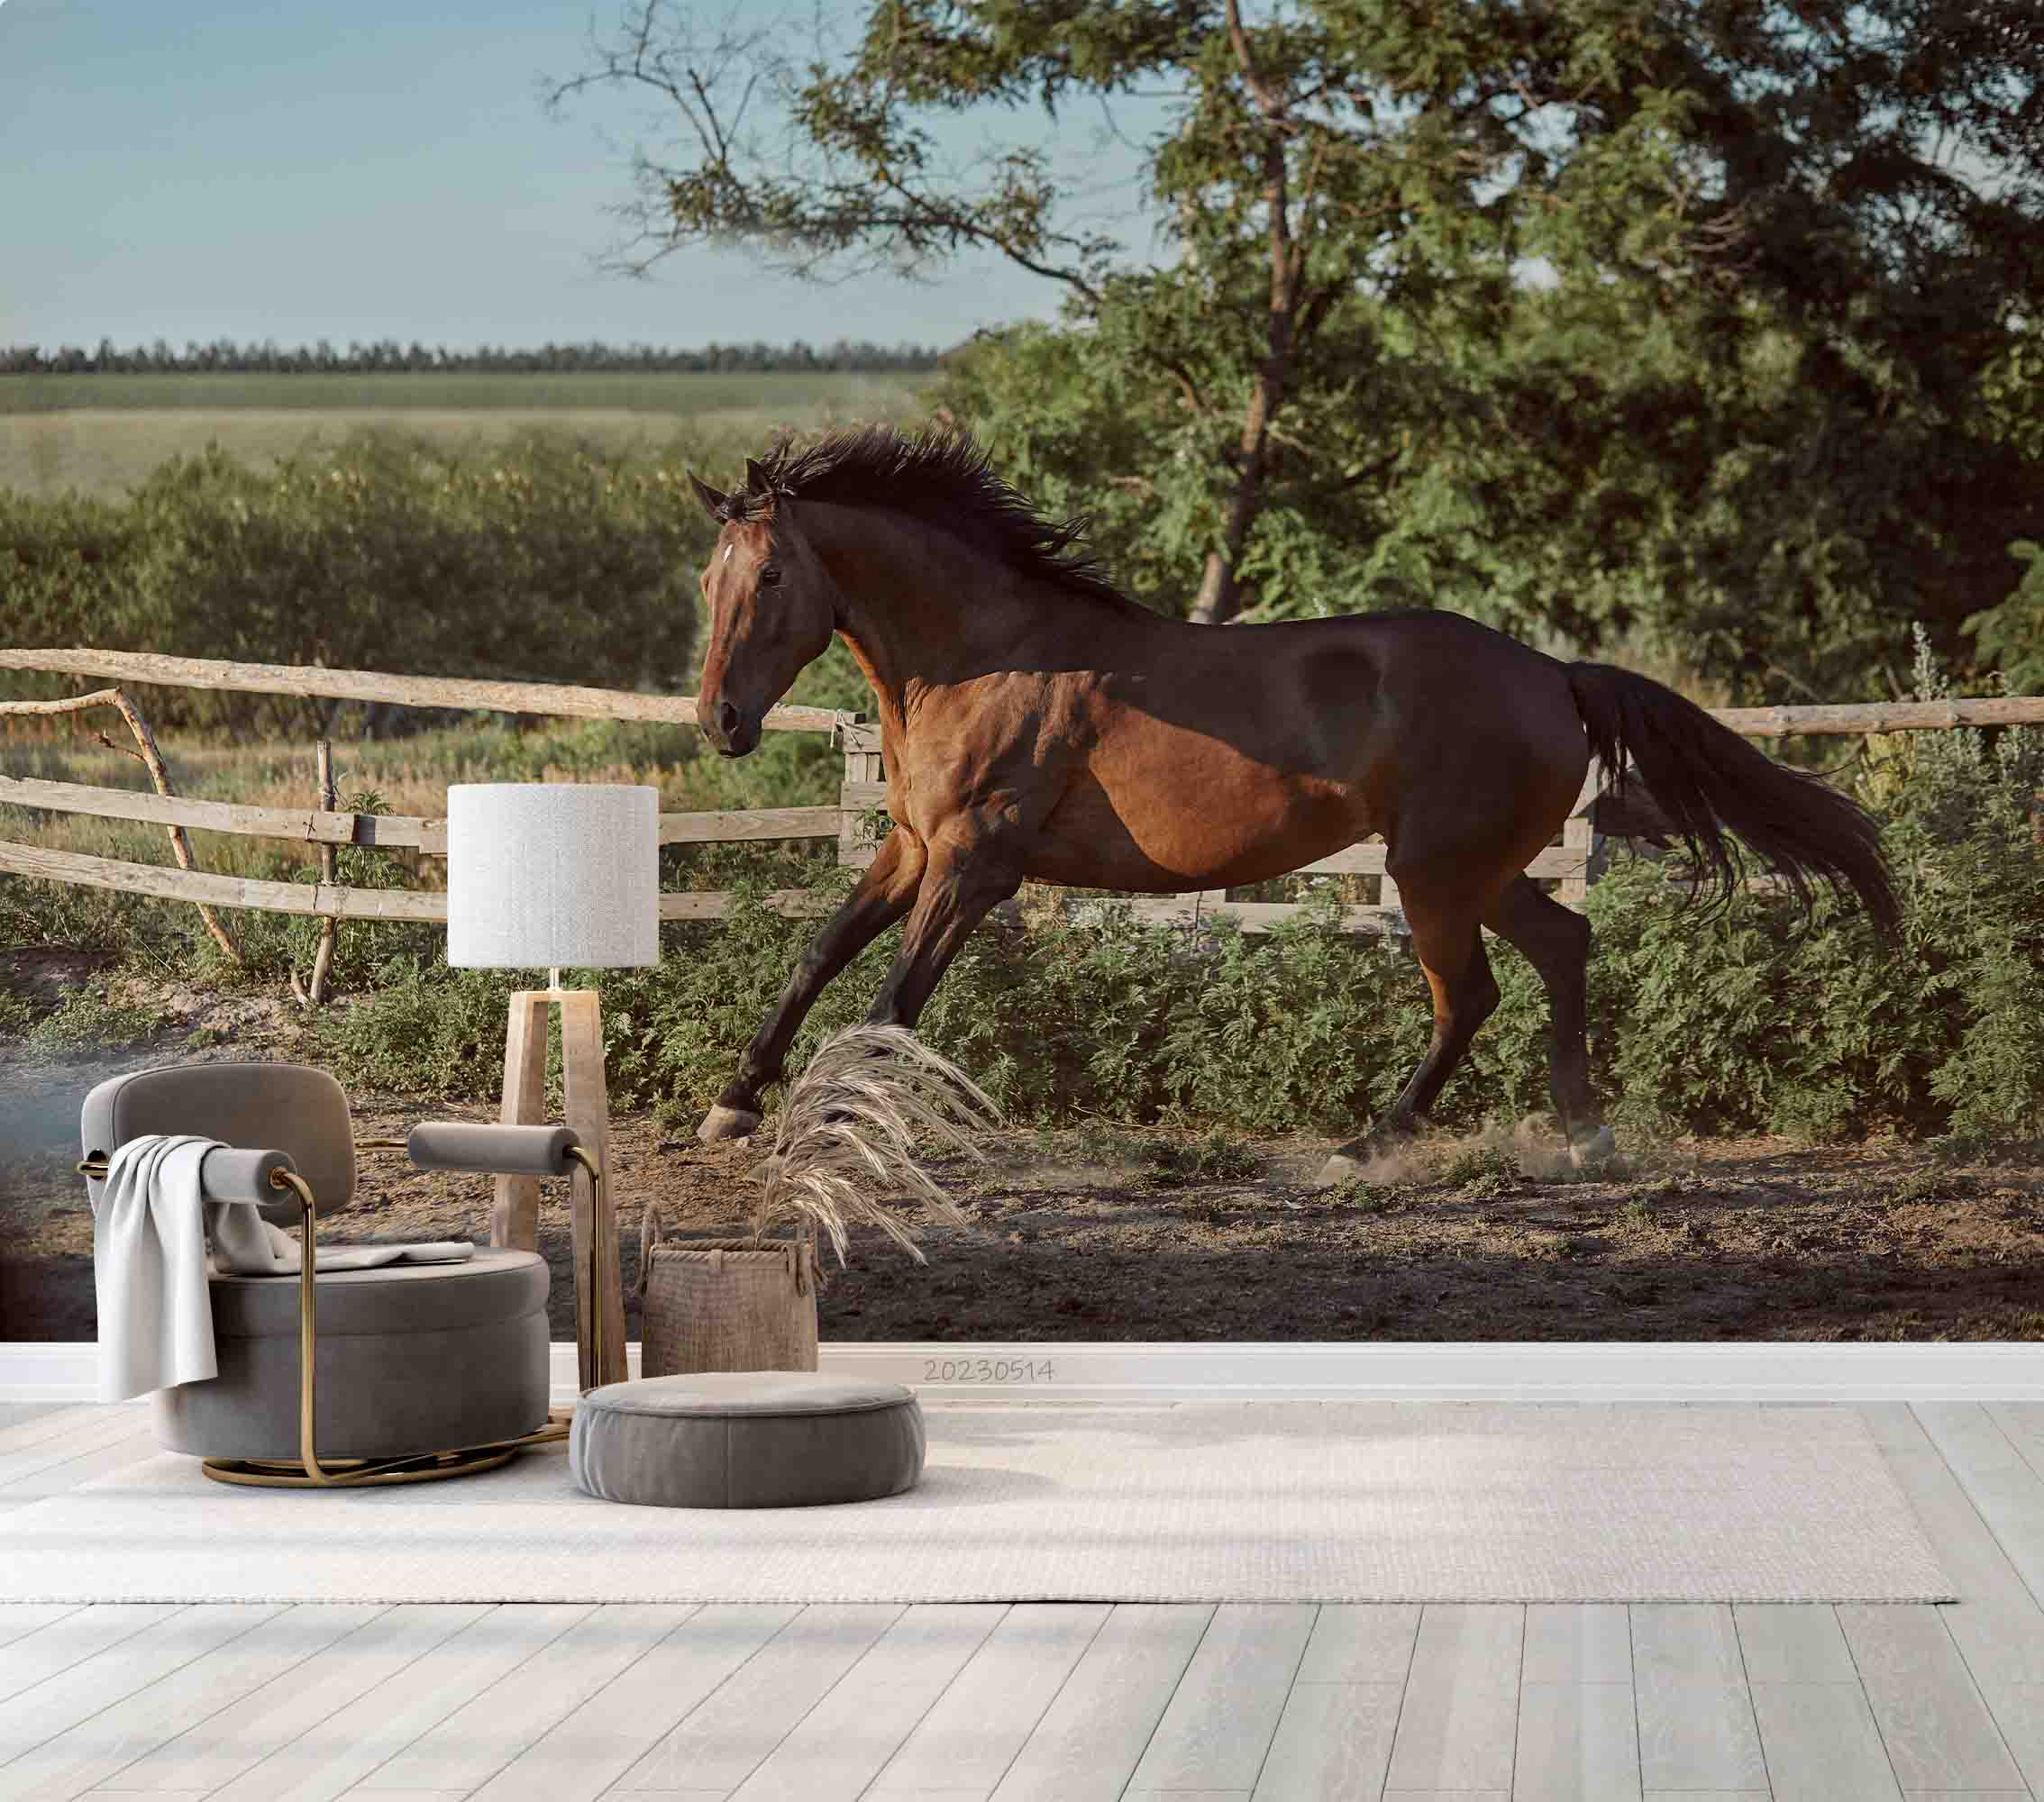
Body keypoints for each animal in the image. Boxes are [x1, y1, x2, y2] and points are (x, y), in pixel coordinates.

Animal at [683, 426, 1898, 1183]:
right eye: (709, 579)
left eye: (774, 576)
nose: (721, 721)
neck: (983, 660)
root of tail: (1556, 672)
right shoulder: (907, 850)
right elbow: (816, 959)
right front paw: (733, 1104)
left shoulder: (975, 868)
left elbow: (889, 1005)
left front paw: (837, 1133)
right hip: (1480, 870)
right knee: (1564, 943)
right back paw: (1582, 1134)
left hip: (1434, 875)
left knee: (1473, 994)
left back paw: (1366, 1147)